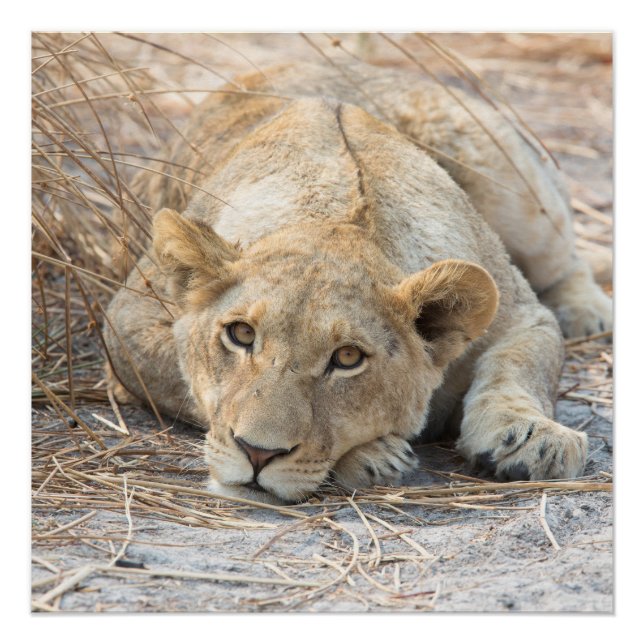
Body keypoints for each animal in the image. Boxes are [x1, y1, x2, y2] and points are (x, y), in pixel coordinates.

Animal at [104, 62, 612, 503]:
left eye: (347, 358)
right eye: (241, 334)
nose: (257, 453)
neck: (335, 214)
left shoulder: (523, 315)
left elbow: (522, 366)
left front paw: (533, 440)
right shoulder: (127, 321)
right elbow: (183, 381)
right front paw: (374, 454)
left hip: (515, 187)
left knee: (567, 259)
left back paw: (588, 314)